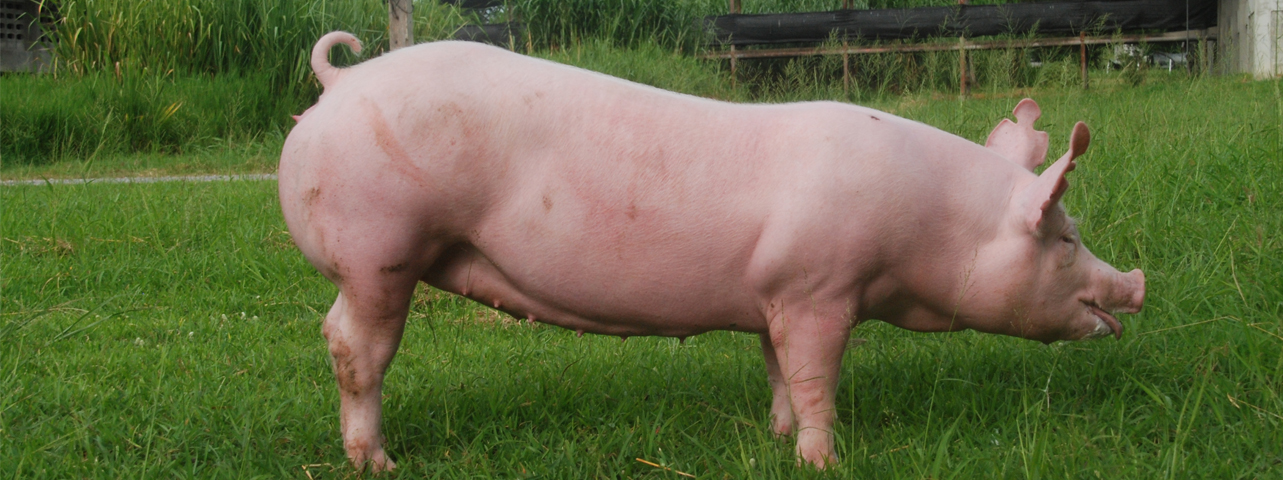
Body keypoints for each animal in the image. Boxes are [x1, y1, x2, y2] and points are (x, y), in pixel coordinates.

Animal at [279, 31, 1145, 471]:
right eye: (1064, 239)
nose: (1135, 283)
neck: (930, 229)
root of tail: (340, 81)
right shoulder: (819, 288)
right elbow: (816, 376)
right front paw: (821, 460)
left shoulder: (775, 294)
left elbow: (776, 369)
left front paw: (773, 436)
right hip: (379, 248)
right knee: (351, 345)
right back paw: (377, 463)